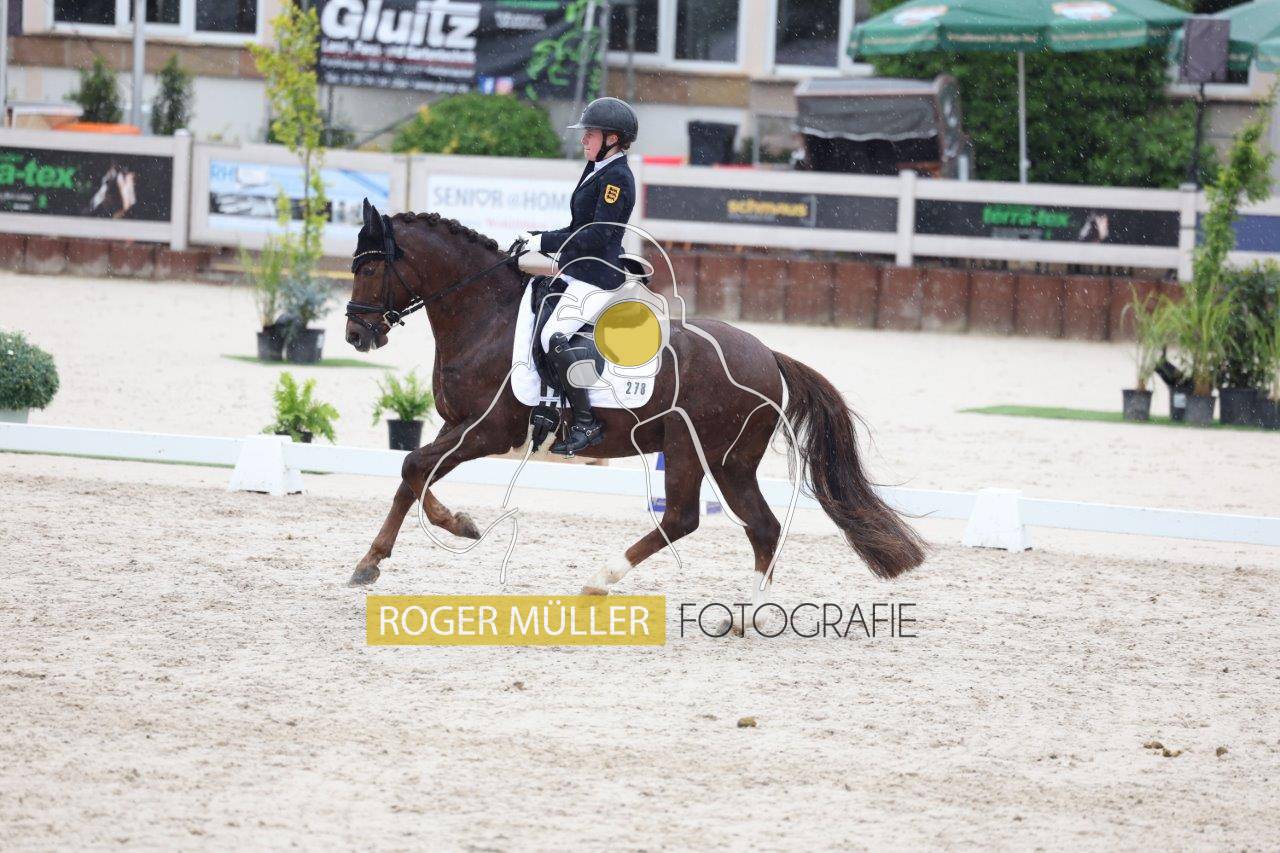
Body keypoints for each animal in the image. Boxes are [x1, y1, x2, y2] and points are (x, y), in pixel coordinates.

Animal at [342, 202, 926, 609]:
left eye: (368, 270)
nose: (356, 335)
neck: (486, 315)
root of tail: (768, 356)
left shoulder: (487, 431)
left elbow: (413, 466)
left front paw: (460, 524)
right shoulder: (454, 425)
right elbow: (410, 476)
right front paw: (369, 562)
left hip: (691, 448)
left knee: (683, 517)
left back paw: (600, 581)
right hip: (729, 461)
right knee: (760, 526)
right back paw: (749, 614)